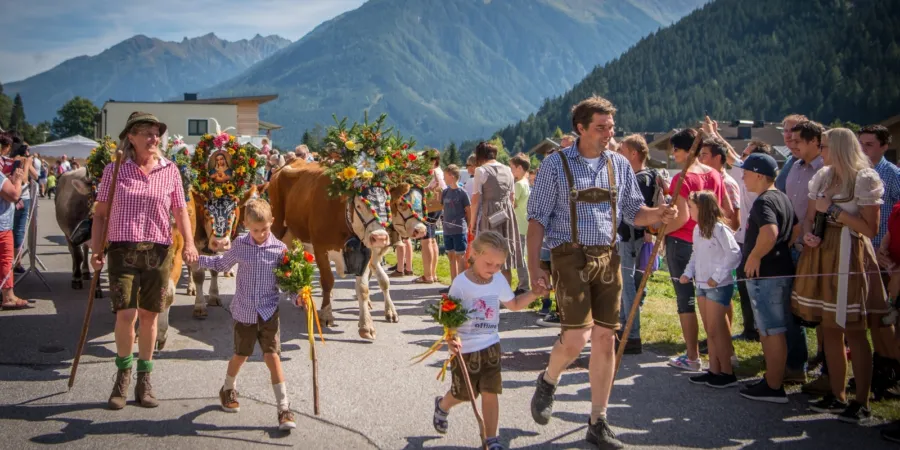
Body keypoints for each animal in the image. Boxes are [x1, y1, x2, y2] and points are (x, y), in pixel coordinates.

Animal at [268, 160, 394, 340]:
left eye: (387, 203)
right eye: (358, 205)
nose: (380, 238)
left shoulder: (365, 252)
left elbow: (363, 288)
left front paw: (366, 326)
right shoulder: (320, 248)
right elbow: (327, 281)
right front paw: (327, 315)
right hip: (278, 226)